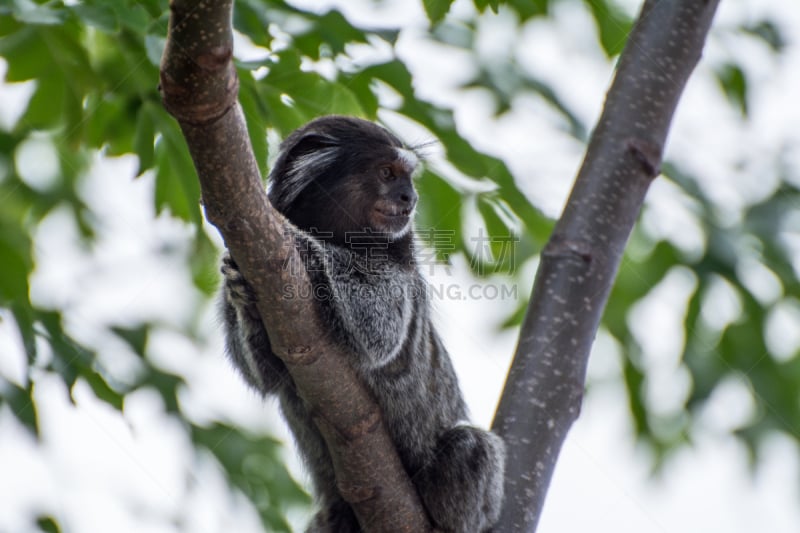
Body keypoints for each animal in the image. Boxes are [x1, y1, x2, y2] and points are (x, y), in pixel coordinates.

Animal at [222, 116, 504, 532]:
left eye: (407, 178)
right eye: (387, 174)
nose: (409, 198)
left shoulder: (399, 269)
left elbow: (380, 330)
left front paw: (302, 244)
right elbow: (268, 376)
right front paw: (242, 294)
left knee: (471, 445)